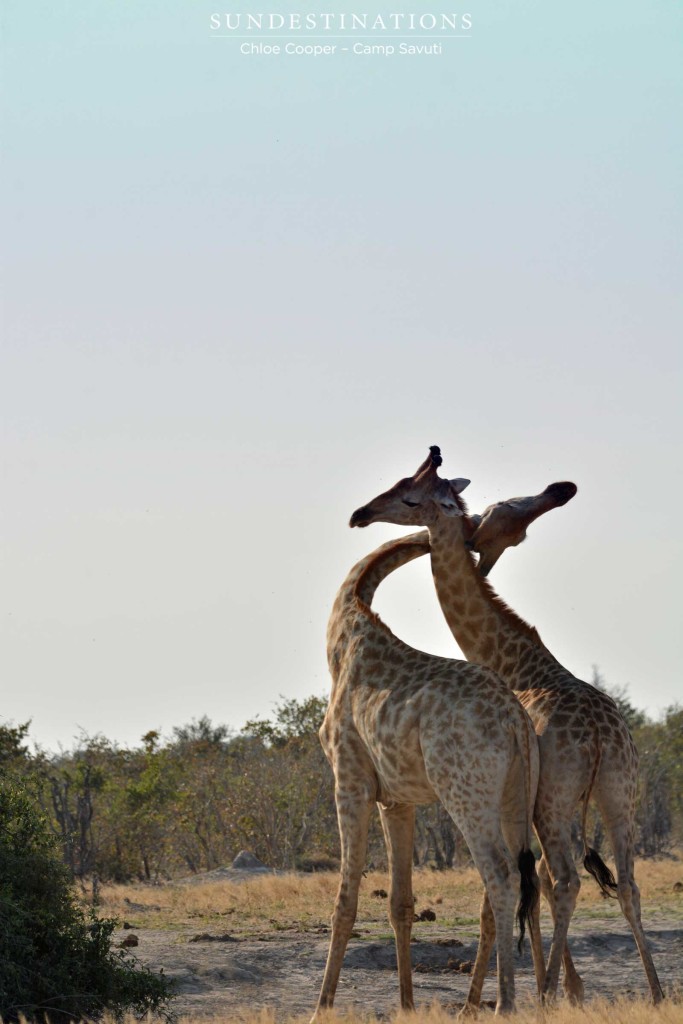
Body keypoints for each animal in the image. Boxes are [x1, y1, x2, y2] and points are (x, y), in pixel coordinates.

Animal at [315, 528, 544, 1015]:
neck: (343, 635)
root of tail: (515, 722)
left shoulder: (350, 780)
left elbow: (345, 900)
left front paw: (318, 1009)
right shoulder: (396, 799)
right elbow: (400, 903)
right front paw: (405, 1006)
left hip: (465, 793)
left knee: (502, 874)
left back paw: (505, 1004)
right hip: (518, 797)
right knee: (531, 877)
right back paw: (546, 998)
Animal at [356, 450, 663, 1007]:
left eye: (409, 496)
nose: (363, 514)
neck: (515, 662)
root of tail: (600, 737)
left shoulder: (512, 798)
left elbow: (501, 895)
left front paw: (487, 1000)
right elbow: (527, 885)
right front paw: (561, 988)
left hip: (555, 801)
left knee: (564, 881)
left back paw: (545, 991)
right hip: (620, 793)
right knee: (625, 884)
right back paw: (654, 992)